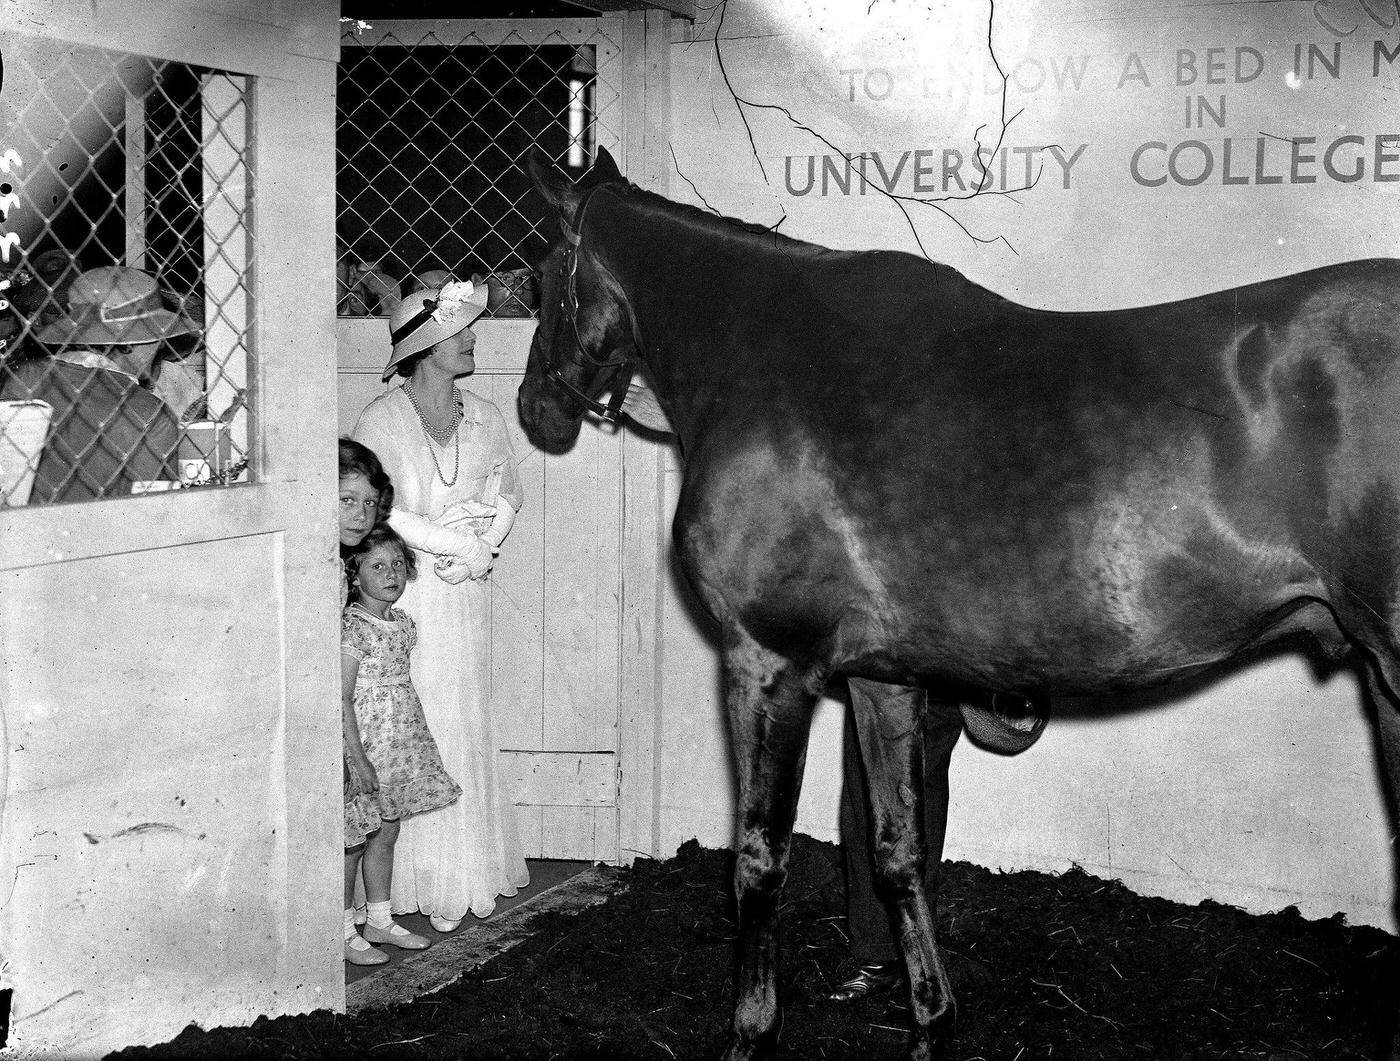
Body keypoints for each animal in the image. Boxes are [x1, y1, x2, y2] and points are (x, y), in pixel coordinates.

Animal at [520, 143, 1400, 1061]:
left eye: (542, 277)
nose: (534, 407)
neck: (757, 355)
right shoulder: (884, 679)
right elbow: (899, 849)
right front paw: (930, 1023)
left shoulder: (766, 661)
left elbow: (759, 857)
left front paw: (751, 1034)